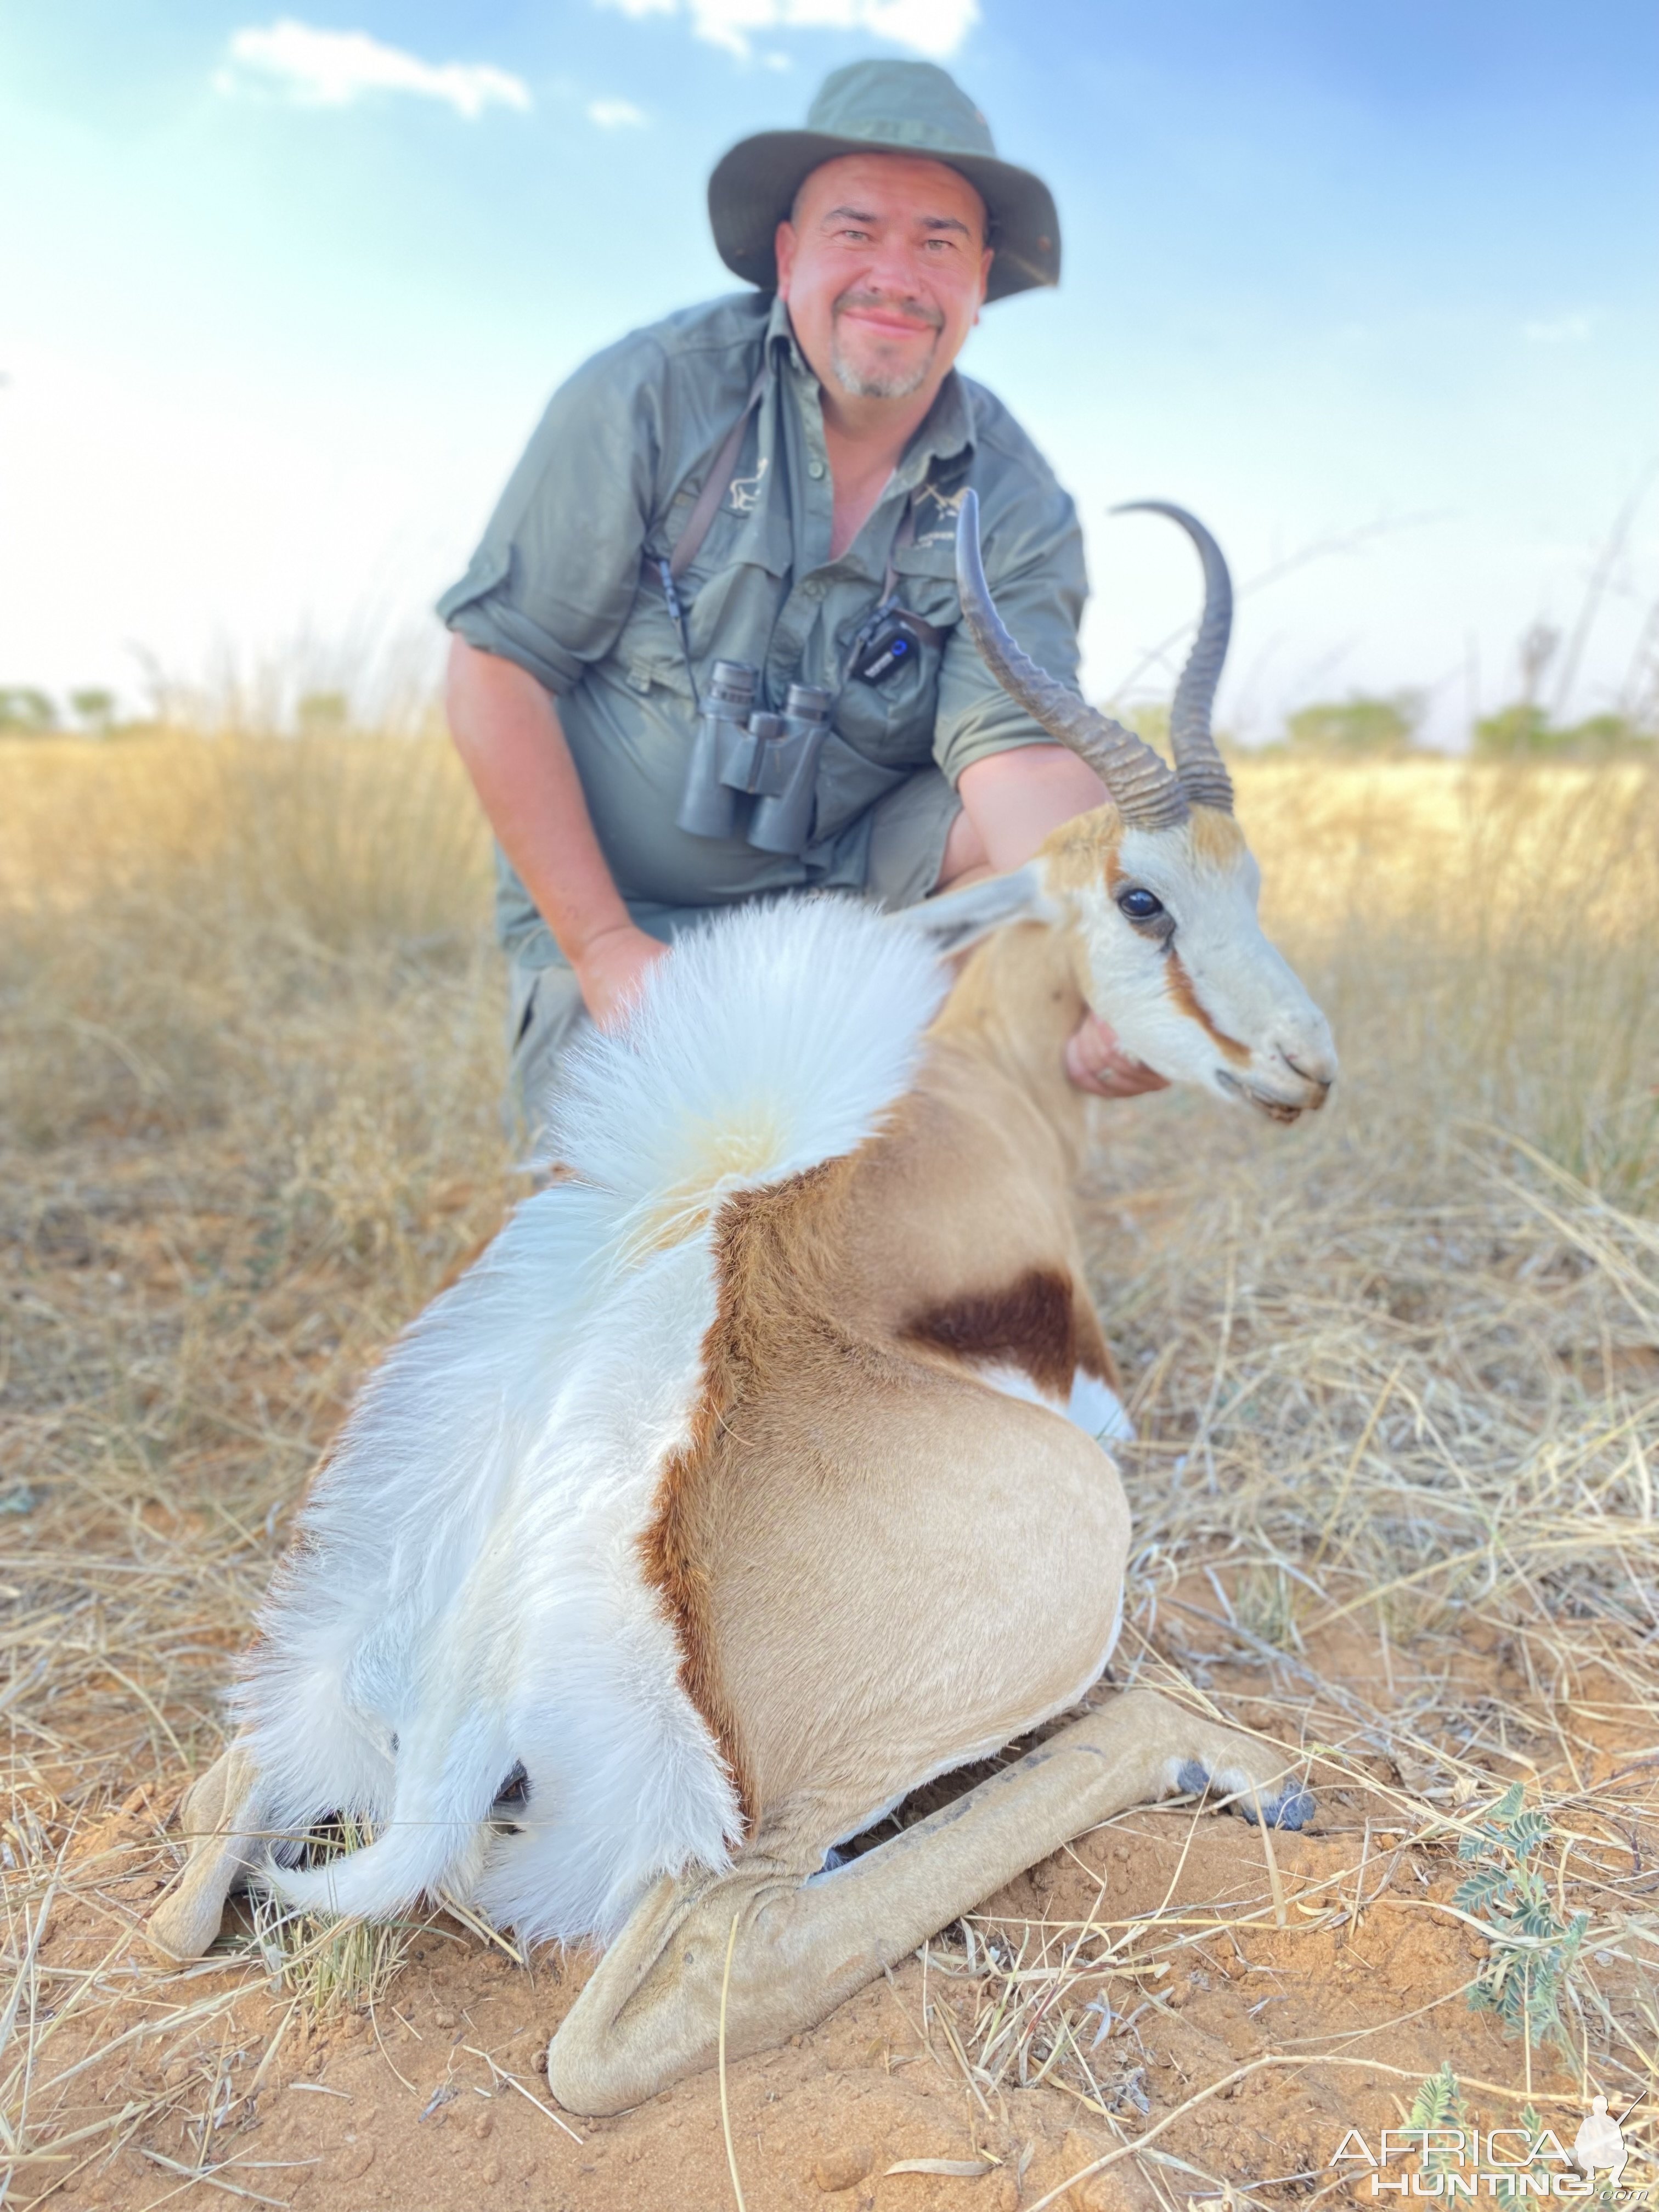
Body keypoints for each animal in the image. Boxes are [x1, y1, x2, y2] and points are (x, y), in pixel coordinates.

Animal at [146, 493, 1336, 2114]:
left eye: (1254, 883)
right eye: (1143, 898)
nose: (1304, 1066)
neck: (976, 1082)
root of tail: (482, 1664)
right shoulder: (1096, 1402)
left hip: (313, 1702)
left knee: (207, 1844)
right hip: (863, 1740)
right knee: (702, 1974)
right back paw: (1233, 1763)